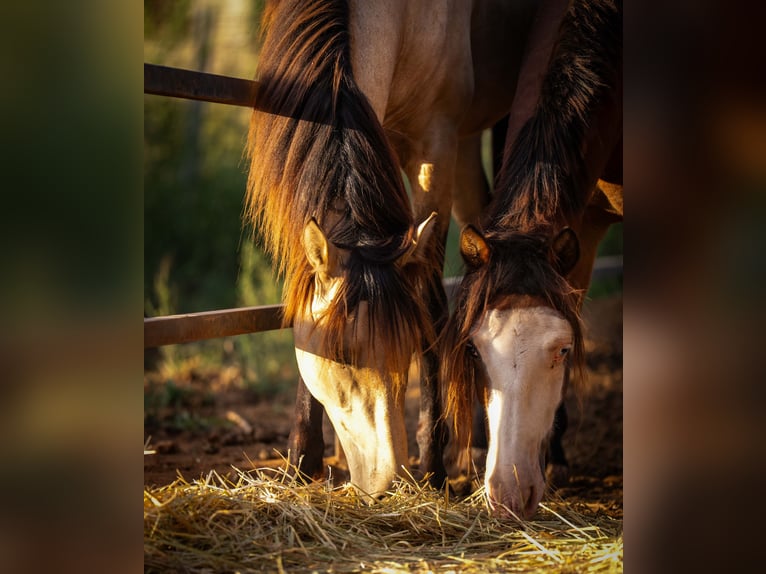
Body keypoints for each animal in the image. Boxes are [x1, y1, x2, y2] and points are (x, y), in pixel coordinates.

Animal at [245, 0, 543, 498]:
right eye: (341, 354)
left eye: (404, 347)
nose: (387, 480)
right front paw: (303, 458)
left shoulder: (433, 146)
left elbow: (432, 307)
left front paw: (434, 464)